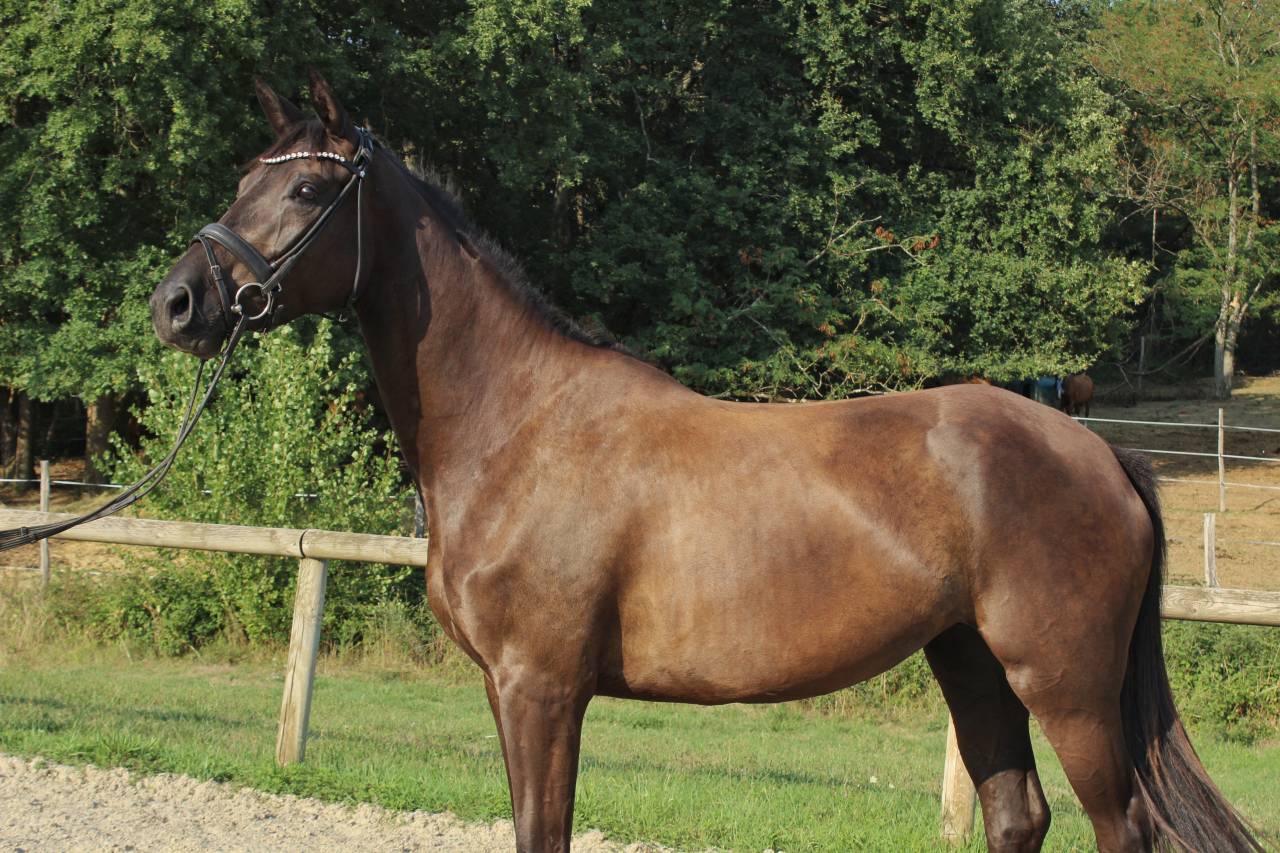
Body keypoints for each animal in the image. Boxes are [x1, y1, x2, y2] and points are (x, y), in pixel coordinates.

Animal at [148, 73, 1261, 853]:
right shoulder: (518, 691)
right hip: (972, 662)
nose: (178, 302)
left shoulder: (538, 686)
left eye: (304, 187)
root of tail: (1096, 449)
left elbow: (542, 830)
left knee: (1117, 826)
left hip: (1065, 685)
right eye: (242, 180)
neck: (519, 425)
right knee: (1015, 813)